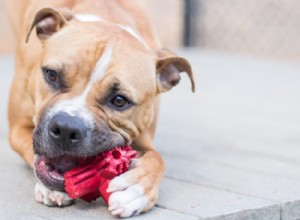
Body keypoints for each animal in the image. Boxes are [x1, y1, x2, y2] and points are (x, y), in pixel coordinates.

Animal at [5, 0, 195, 217]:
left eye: (120, 100)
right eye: (51, 74)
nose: (66, 128)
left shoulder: (144, 138)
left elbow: (157, 159)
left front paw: (136, 188)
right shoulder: (18, 129)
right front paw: (49, 188)